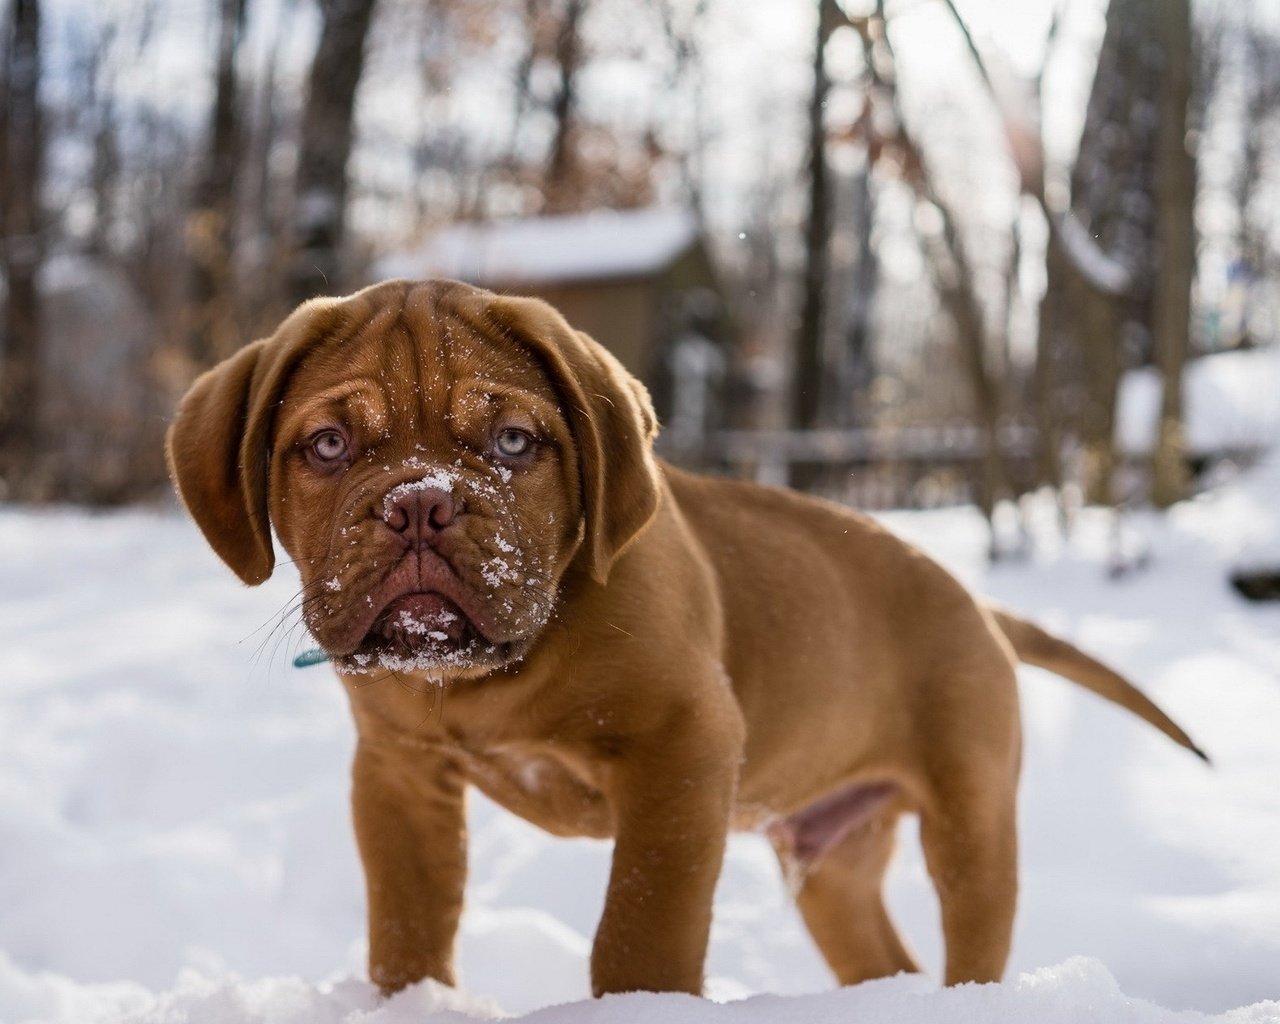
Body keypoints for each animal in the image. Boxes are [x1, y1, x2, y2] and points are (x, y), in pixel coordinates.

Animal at [165, 277, 1203, 998]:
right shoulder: (398, 776)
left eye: (512, 444)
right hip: (833, 866)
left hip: (972, 822)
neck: (496, 678)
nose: (421, 504)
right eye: (329, 446)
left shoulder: (683, 746)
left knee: (969, 939)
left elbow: (642, 927)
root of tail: (978, 603)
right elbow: (408, 931)